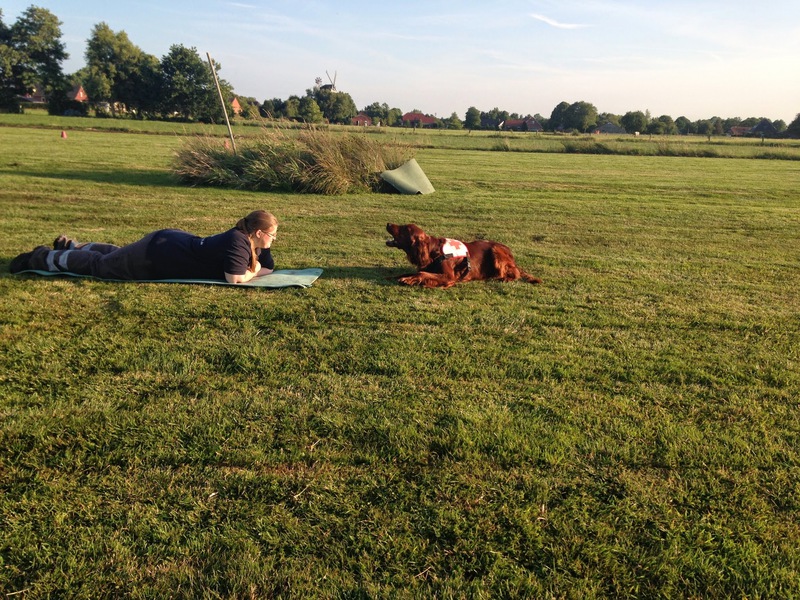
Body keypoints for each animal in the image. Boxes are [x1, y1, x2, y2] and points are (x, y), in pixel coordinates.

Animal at [385, 223, 542, 288]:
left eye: (405, 228)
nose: (388, 224)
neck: (434, 251)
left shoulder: (449, 276)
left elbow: (422, 274)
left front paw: (409, 280)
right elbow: (414, 272)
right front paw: (398, 276)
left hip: (496, 251)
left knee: (514, 272)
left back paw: (503, 278)